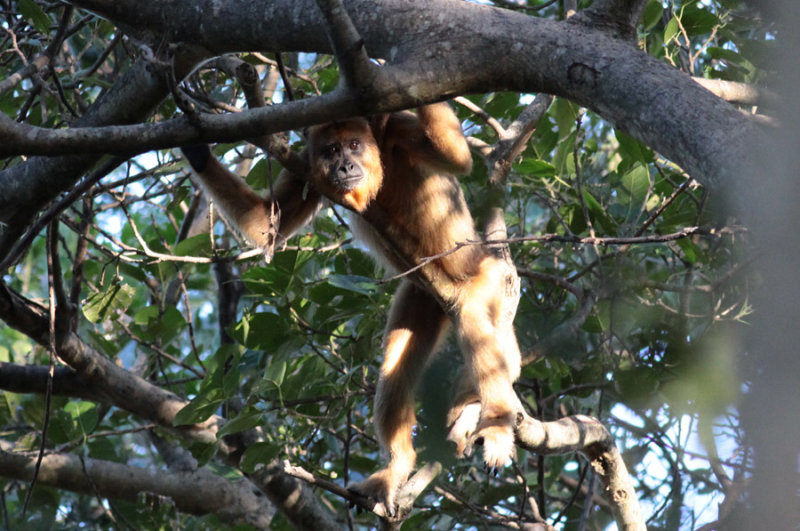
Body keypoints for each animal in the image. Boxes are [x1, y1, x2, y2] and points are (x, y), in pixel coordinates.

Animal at [181, 102, 520, 512]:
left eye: (354, 145)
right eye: (331, 151)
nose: (344, 166)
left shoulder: (398, 130)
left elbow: (457, 160)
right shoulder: (308, 167)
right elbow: (267, 225)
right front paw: (196, 151)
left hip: (483, 279)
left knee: (475, 324)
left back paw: (497, 427)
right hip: (421, 296)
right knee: (395, 368)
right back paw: (396, 469)